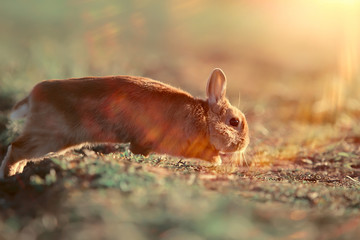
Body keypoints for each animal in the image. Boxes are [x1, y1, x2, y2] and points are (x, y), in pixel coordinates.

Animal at [0, 67, 249, 178]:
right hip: (51, 138)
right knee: (16, 148)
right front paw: (218, 160)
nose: (244, 144)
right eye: (234, 121)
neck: (206, 120)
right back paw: (9, 175)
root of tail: (33, 95)